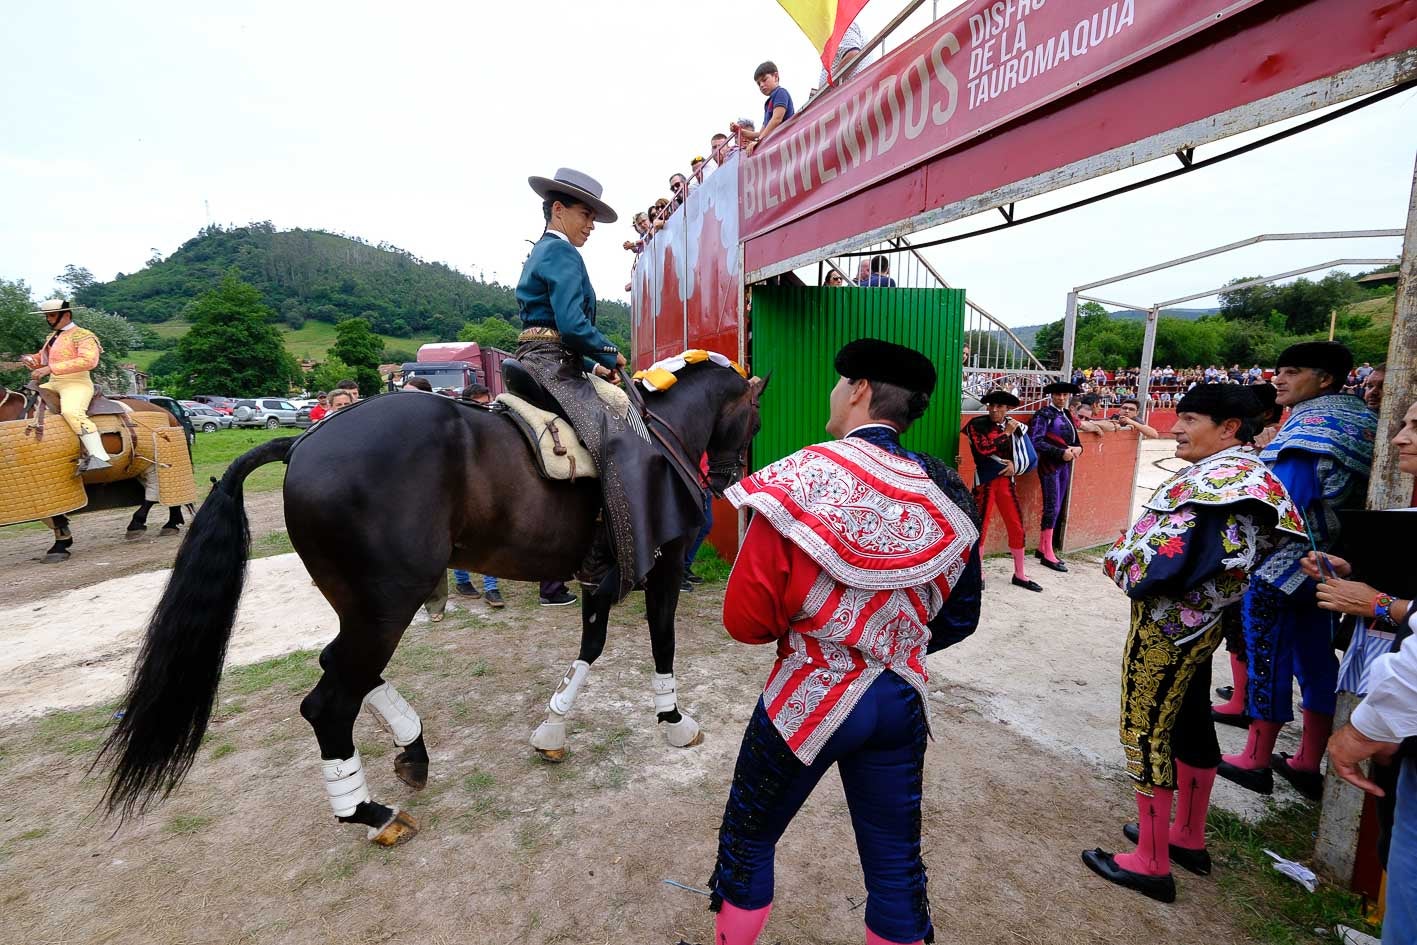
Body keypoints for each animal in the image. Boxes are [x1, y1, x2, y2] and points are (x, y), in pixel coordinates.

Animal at [101, 365, 770, 850]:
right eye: (755, 418)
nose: (725, 481)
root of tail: (304, 441)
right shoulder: (662, 566)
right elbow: (659, 640)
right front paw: (673, 719)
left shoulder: (596, 580)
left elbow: (591, 644)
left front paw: (553, 728)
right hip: (387, 604)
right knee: (329, 701)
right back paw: (370, 812)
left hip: (365, 606)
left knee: (341, 667)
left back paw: (411, 747)